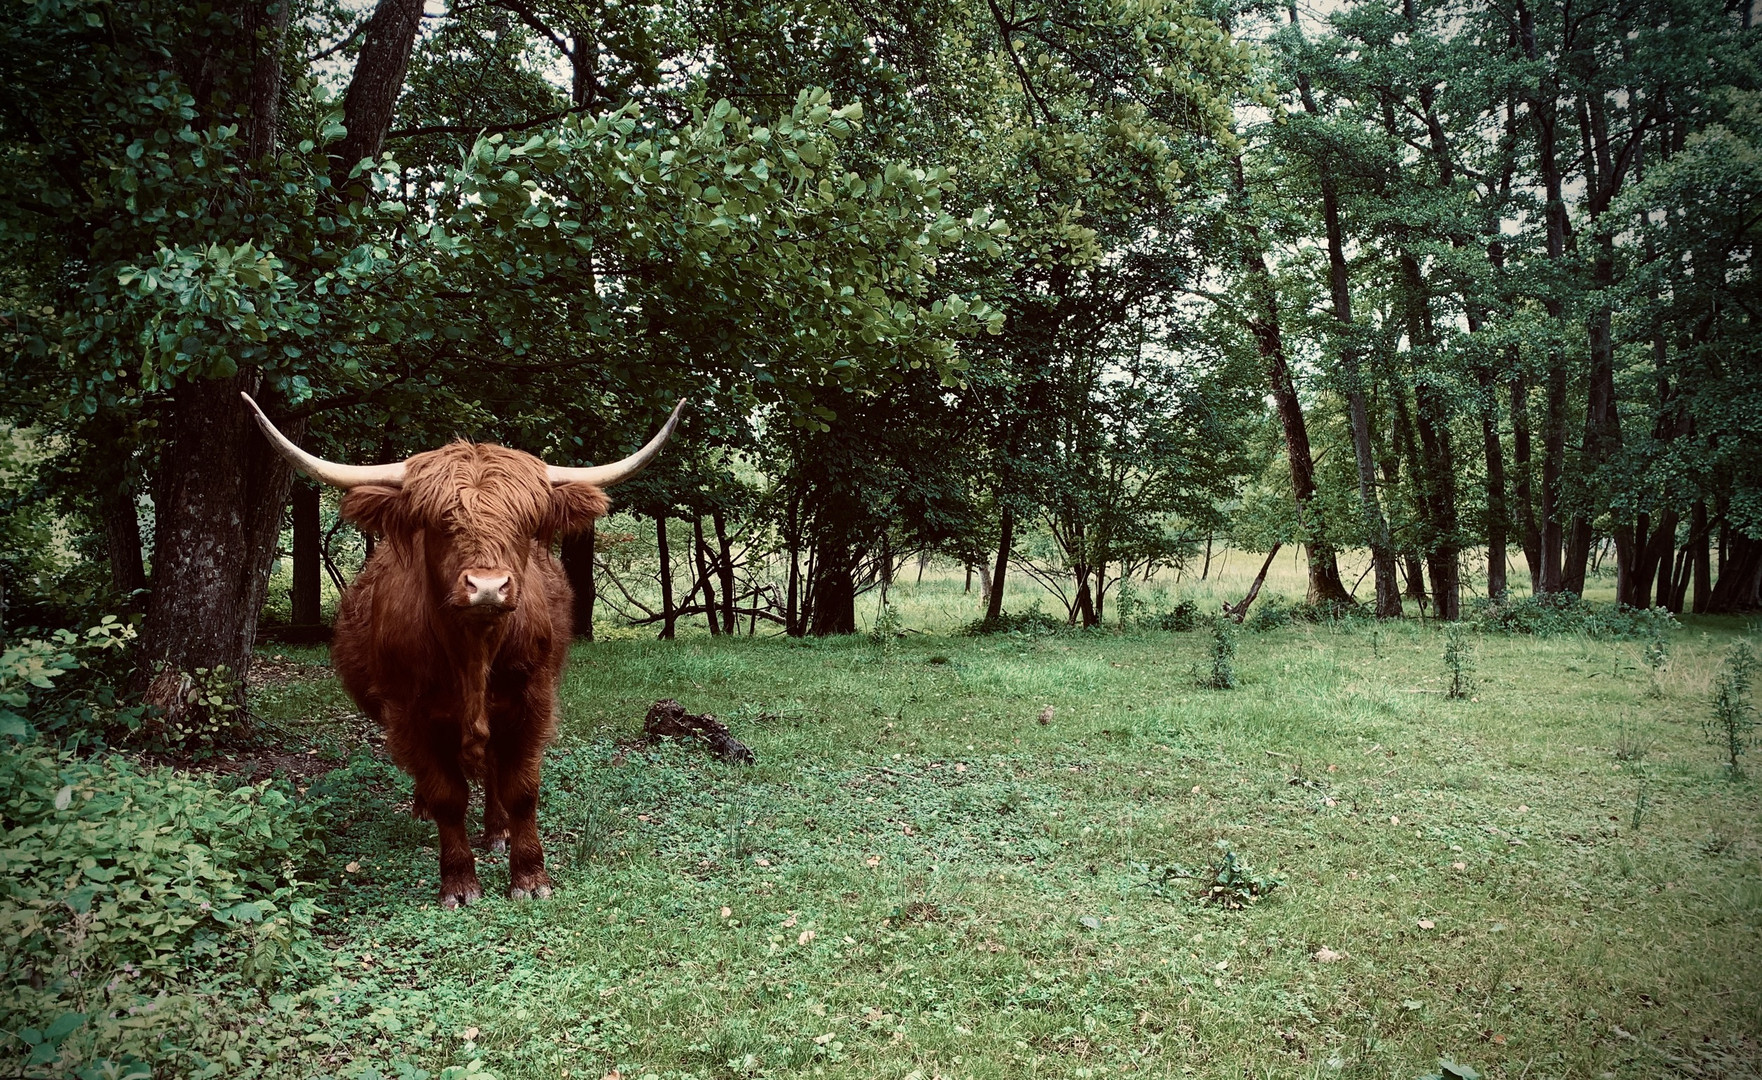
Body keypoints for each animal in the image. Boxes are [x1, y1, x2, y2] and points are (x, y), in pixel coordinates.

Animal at [244, 394, 683, 902]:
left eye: (525, 522)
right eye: (438, 523)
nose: (488, 587)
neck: (475, 653)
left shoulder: (532, 702)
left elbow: (522, 789)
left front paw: (530, 876)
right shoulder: (410, 712)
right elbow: (446, 795)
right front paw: (458, 882)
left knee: (493, 771)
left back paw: (497, 831)